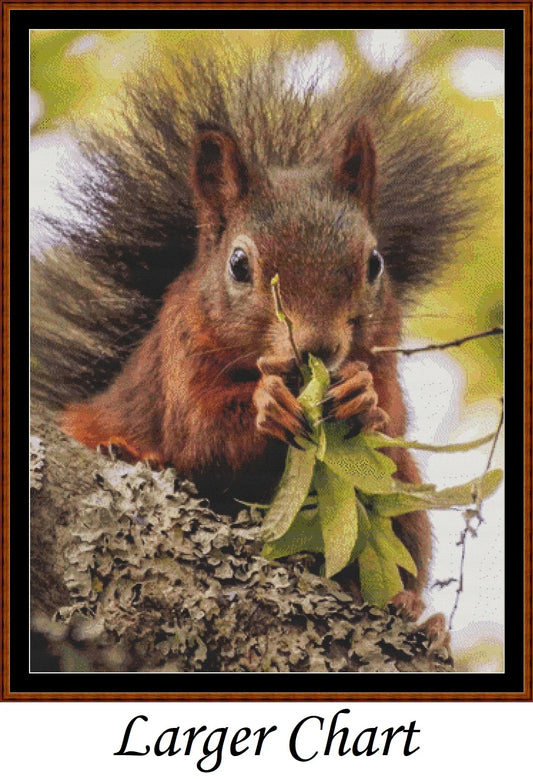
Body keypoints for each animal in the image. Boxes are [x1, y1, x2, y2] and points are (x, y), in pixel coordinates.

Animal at [31, 51, 487, 621]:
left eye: (375, 263)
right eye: (239, 264)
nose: (318, 349)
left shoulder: (384, 358)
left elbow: (393, 418)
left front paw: (361, 396)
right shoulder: (182, 355)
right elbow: (200, 434)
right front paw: (266, 404)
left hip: (401, 496)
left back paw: (413, 613)